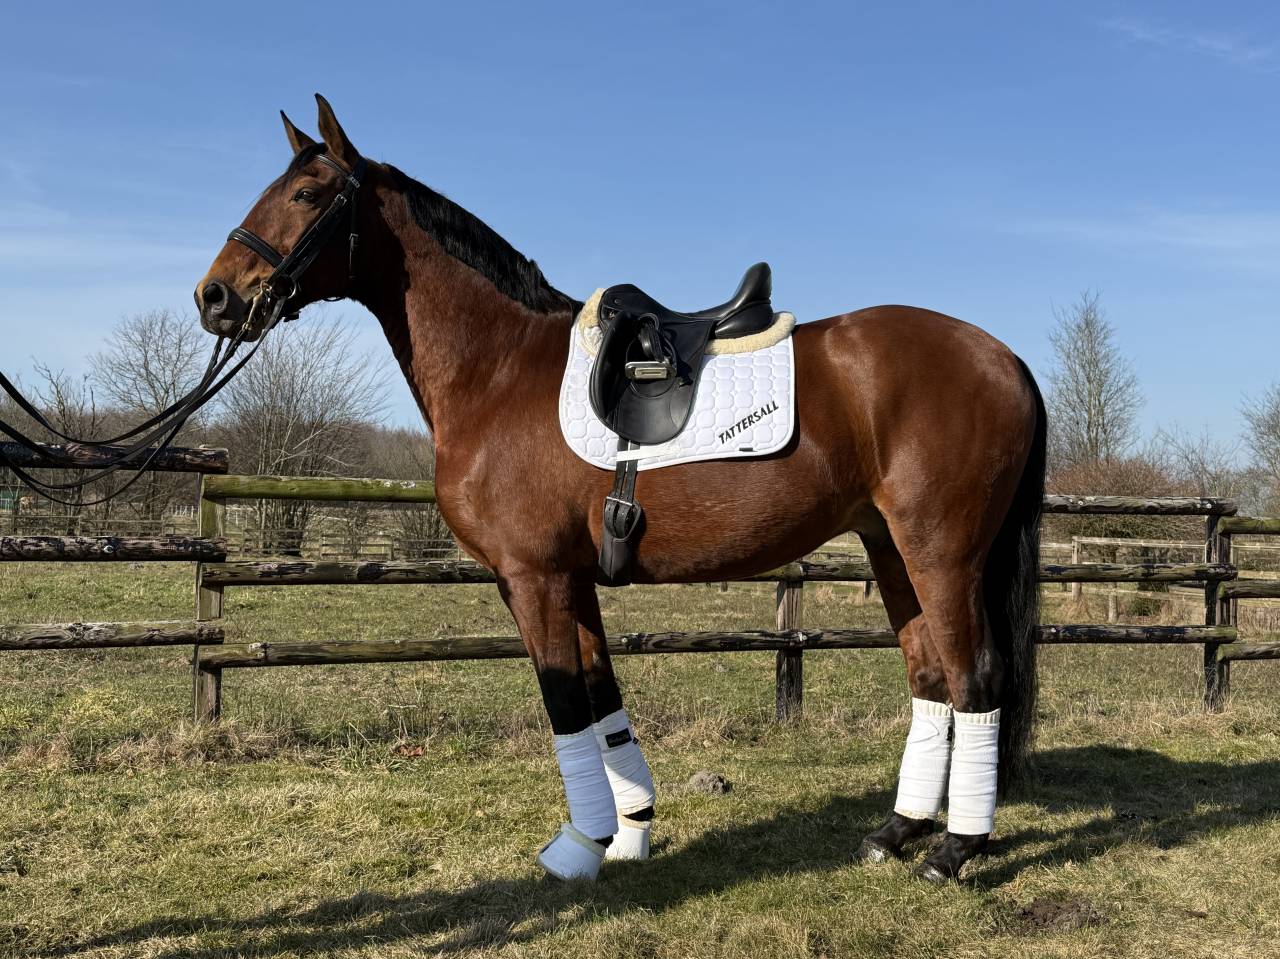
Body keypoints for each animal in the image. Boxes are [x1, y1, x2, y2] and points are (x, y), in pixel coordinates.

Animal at [195, 94, 1045, 884]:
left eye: (308, 194)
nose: (216, 296)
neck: (501, 370)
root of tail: (1002, 356)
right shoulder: (572, 578)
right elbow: (601, 695)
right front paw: (629, 830)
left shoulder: (533, 577)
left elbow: (564, 700)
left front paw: (580, 846)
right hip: (890, 548)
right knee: (930, 677)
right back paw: (895, 833)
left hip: (942, 554)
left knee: (975, 677)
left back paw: (955, 848)